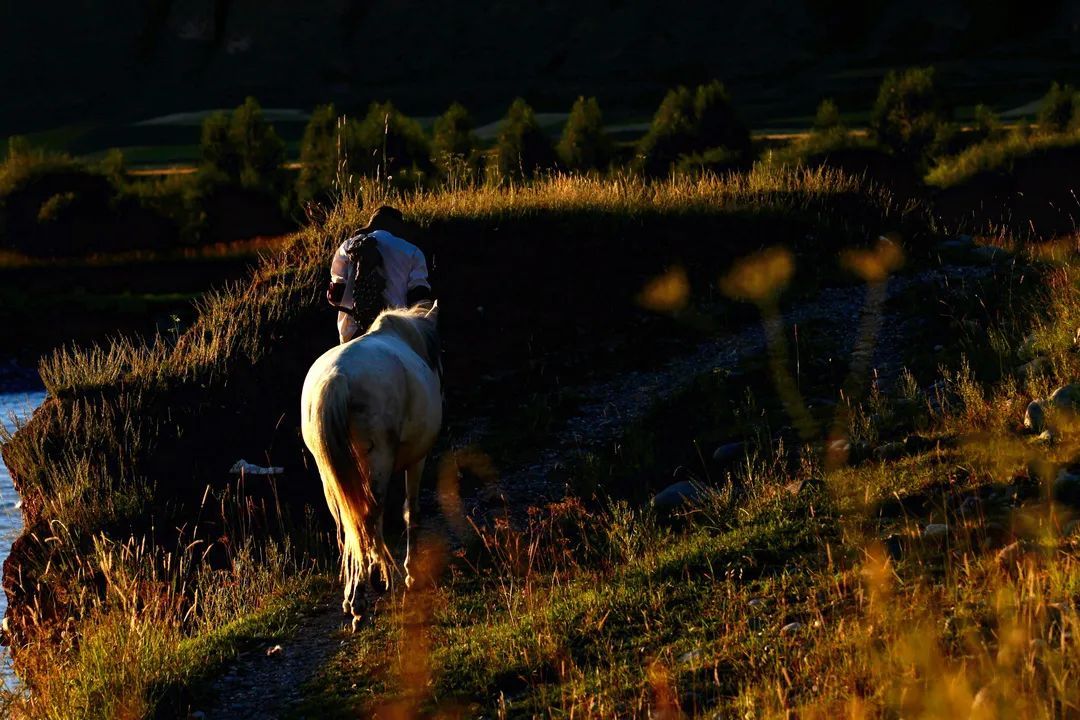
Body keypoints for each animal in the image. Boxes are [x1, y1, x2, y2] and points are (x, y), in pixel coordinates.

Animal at [300, 302, 438, 621]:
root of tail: (337, 379)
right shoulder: (418, 459)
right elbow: (410, 511)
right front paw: (411, 573)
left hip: (331, 473)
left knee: (349, 523)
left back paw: (354, 593)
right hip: (377, 462)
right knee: (367, 517)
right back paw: (363, 594)